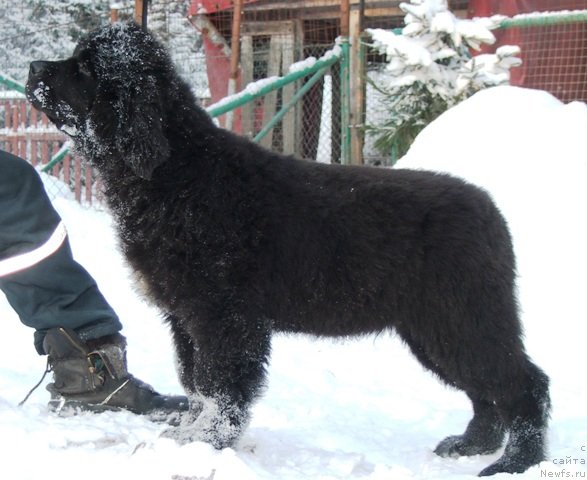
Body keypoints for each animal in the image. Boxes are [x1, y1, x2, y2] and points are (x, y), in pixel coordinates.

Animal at [26, 22, 552, 476]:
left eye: (85, 68)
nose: (32, 67)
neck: (178, 174)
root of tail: (490, 210)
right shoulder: (185, 316)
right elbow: (194, 381)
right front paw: (188, 431)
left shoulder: (223, 316)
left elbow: (219, 386)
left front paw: (207, 441)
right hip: (434, 329)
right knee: (486, 392)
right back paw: (471, 445)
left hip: (462, 318)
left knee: (525, 384)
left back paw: (513, 463)